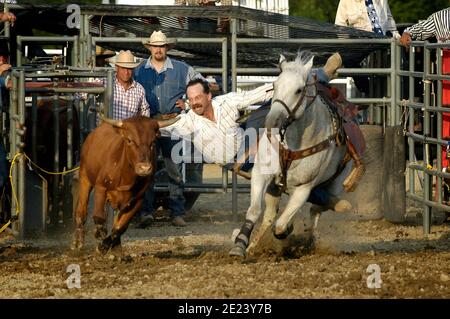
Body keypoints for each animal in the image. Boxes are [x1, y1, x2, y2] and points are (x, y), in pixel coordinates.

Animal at [230, 52, 350, 258]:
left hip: (334, 184)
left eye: (298, 90)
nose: (272, 121)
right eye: (275, 85)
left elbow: (281, 225)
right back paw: (253, 246)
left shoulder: (304, 188)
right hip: (275, 188)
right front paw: (240, 245)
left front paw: (288, 231)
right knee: (271, 215)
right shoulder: (261, 175)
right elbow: (255, 211)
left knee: (318, 207)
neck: (293, 143)